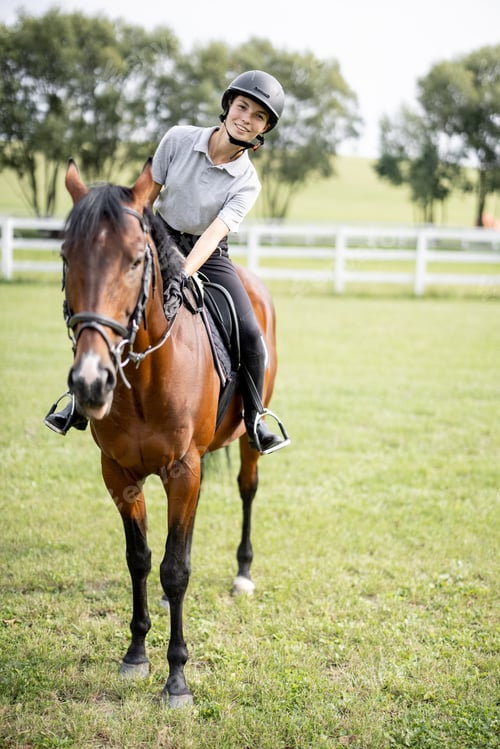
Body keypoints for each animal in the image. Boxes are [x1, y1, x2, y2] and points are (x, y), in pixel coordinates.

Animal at [58, 158, 283, 707]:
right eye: (67, 256)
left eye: (137, 259)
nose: (91, 381)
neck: (145, 376)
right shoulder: (119, 473)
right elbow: (140, 559)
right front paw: (135, 654)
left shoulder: (184, 469)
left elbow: (176, 568)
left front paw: (176, 678)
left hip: (243, 443)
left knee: (247, 489)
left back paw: (243, 574)